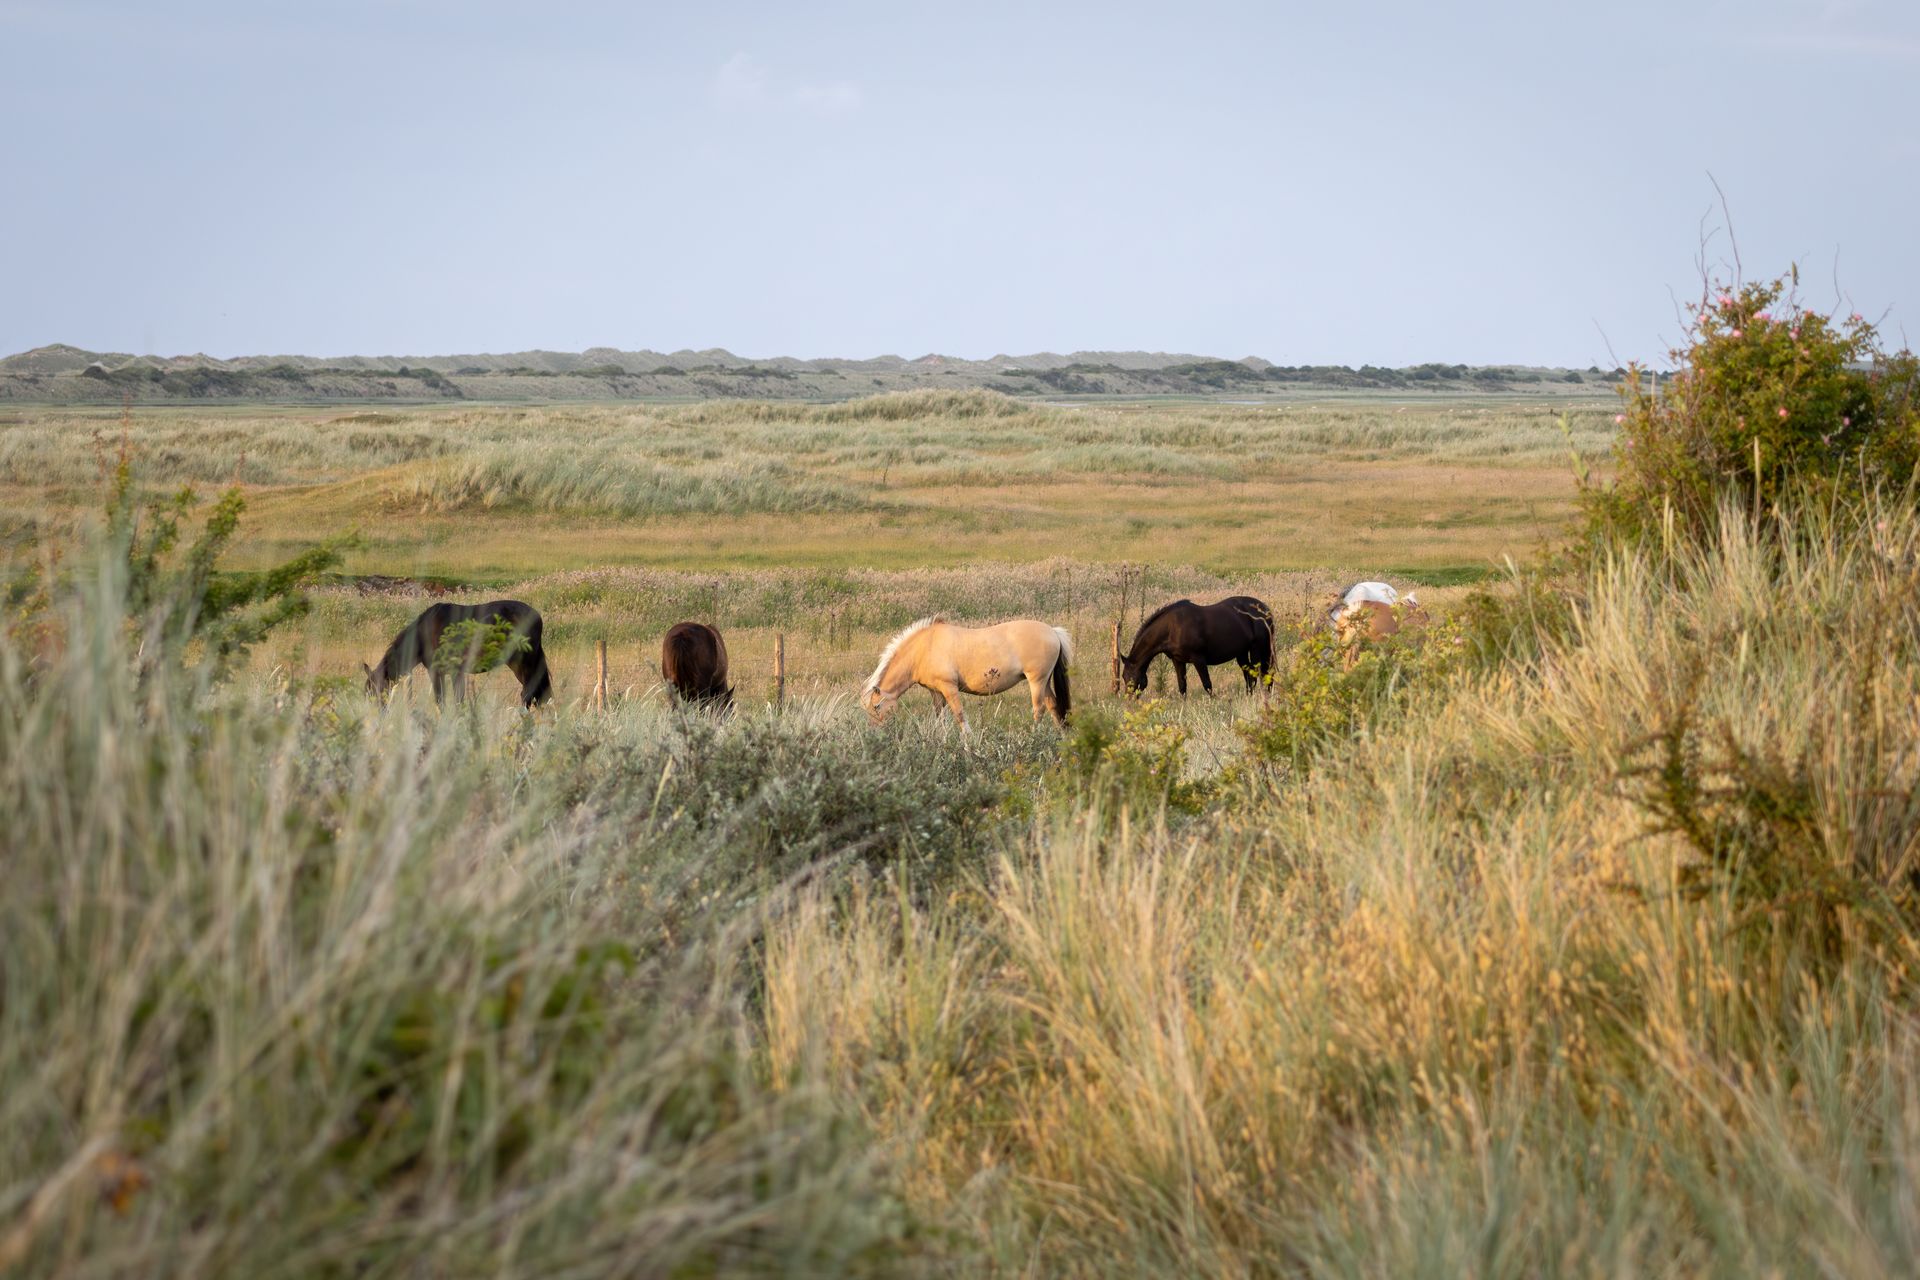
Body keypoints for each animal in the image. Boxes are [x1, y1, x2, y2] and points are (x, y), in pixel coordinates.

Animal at [363, 599, 553, 707]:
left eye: (373, 691)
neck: (424, 632)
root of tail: (537, 616)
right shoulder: (453, 673)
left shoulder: (438, 672)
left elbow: (445, 702)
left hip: (523, 663)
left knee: (528, 694)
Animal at [861, 617, 1072, 729]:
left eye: (876, 707)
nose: (874, 731)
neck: (925, 647)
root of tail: (1053, 631)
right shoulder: (936, 692)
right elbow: (940, 718)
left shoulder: (949, 688)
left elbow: (959, 715)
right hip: (1044, 682)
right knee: (1053, 706)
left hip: (1036, 681)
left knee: (1039, 709)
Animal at [1121, 595, 1274, 696]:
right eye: (1123, 677)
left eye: (1131, 677)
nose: (1129, 700)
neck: (1172, 627)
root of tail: (1265, 610)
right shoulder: (1178, 661)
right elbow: (1182, 686)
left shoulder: (1198, 659)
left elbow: (1207, 685)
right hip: (1242, 653)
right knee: (1249, 675)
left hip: (1257, 649)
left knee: (1257, 674)